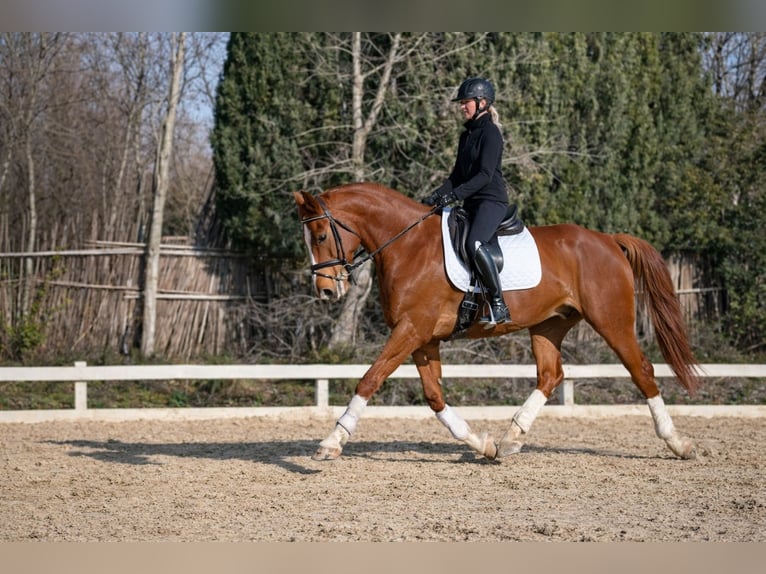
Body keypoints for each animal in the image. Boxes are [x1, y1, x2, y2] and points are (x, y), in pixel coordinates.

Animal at [294, 182, 700, 462]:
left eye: (320, 235)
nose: (326, 291)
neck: (407, 246)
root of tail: (608, 240)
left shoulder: (411, 330)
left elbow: (370, 378)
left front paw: (331, 442)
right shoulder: (424, 338)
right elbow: (434, 396)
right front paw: (483, 444)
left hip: (611, 320)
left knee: (641, 370)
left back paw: (679, 443)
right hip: (548, 325)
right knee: (550, 376)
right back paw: (511, 438)